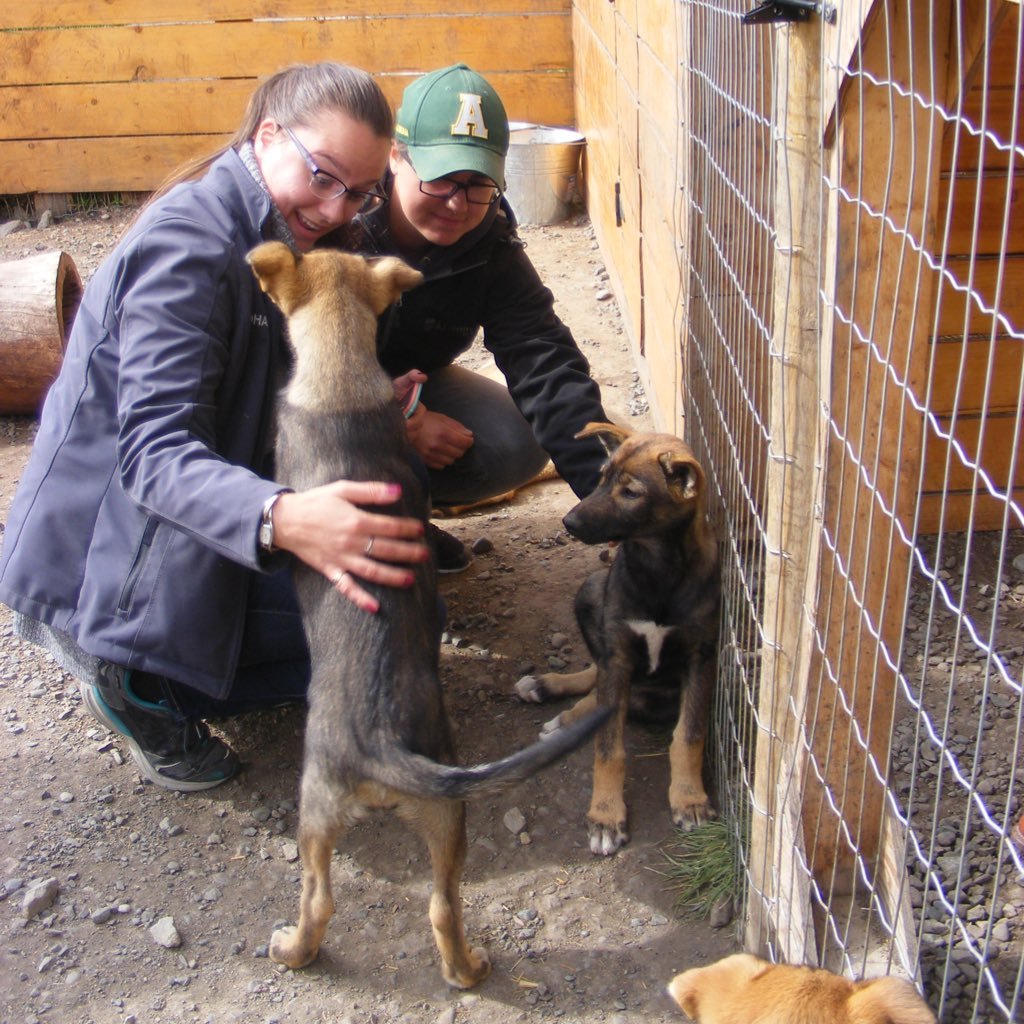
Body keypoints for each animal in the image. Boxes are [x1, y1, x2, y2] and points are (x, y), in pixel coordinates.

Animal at [249, 243, 606, 987]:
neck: (342, 374)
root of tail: (382, 746)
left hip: (315, 806)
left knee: (319, 901)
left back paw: (292, 950)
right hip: (448, 811)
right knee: (443, 907)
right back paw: (466, 971)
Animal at [516, 421, 716, 856]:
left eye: (631, 492)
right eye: (602, 477)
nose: (569, 523)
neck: (658, 569)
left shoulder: (699, 657)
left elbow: (688, 735)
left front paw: (690, 799)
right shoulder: (619, 651)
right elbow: (608, 748)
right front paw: (606, 817)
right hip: (592, 591)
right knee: (596, 676)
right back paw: (548, 691)